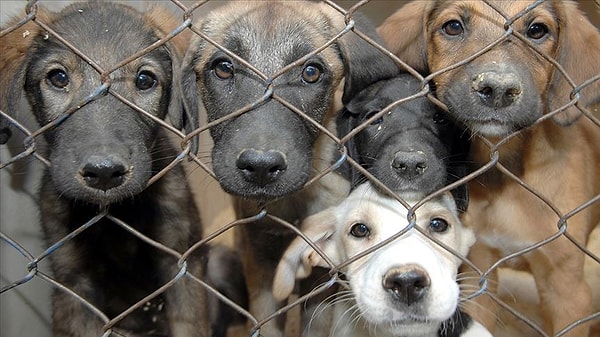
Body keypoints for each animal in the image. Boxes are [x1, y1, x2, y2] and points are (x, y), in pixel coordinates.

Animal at [380, 1, 600, 334]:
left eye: (537, 30)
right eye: (453, 26)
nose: (498, 89)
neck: (506, 171)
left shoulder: (567, 291)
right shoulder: (478, 273)